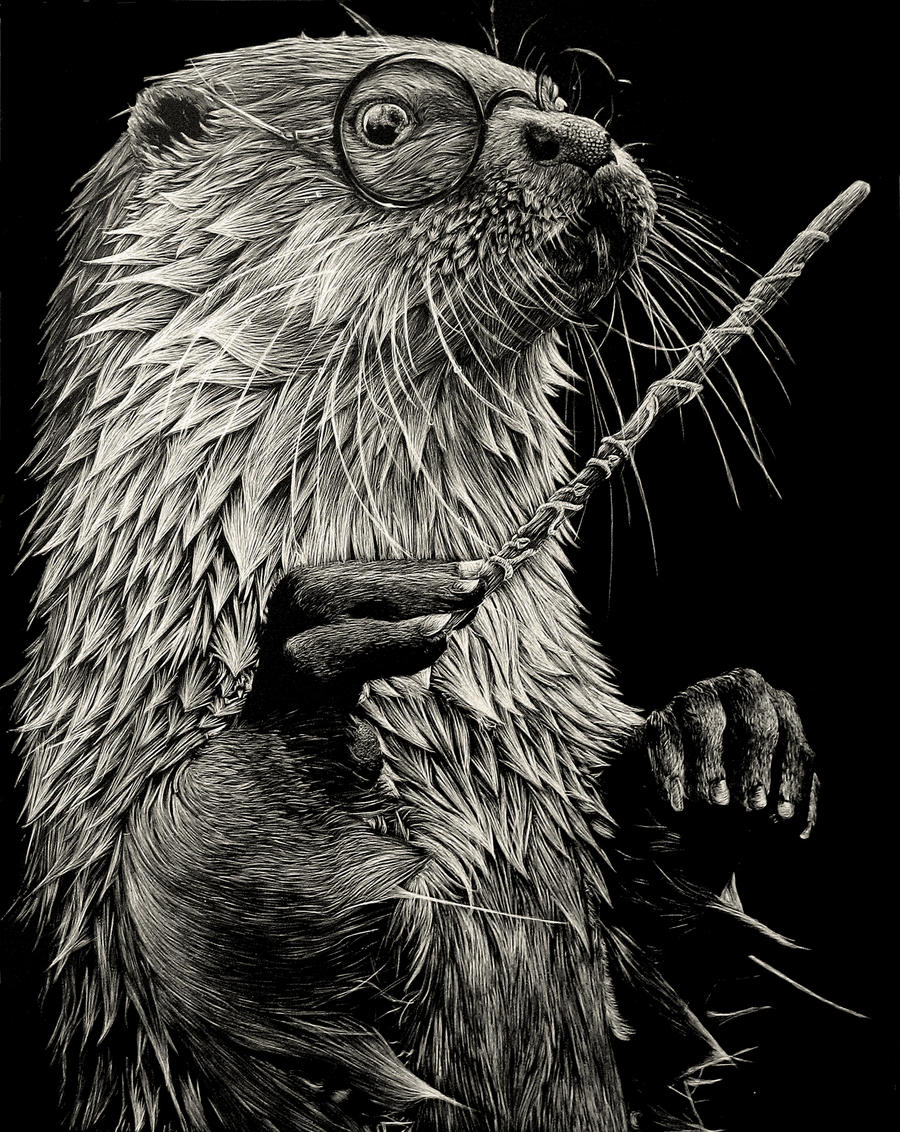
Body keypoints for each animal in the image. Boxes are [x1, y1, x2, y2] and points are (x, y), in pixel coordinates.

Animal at [15, 32, 818, 1132]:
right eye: (386, 122)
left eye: (553, 96)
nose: (579, 137)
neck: (456, 740)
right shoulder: (98, 865)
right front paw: (310, 686)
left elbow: (665, 1005)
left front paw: (724, 736)